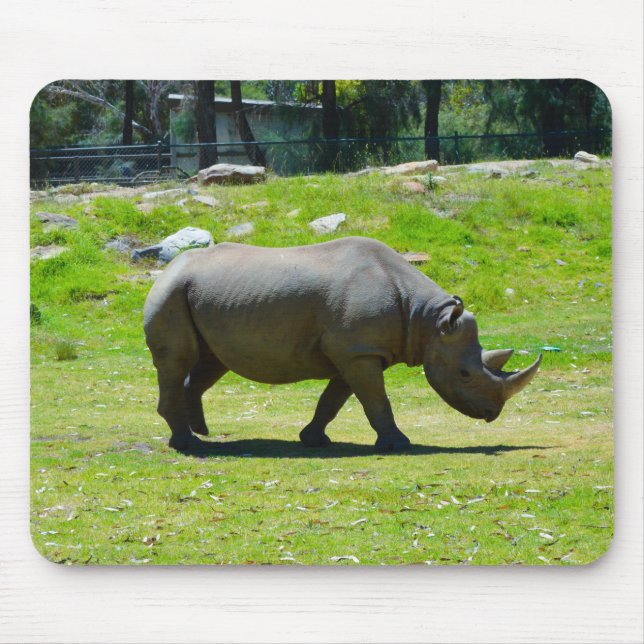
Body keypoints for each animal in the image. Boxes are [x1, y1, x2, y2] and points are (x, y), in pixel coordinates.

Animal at [143, 236, 541, 452]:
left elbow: (333, 400)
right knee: (178, 360)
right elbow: (376, 401)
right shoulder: (358, 351)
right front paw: (399, 445)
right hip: (172, 292)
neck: (428, 320)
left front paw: (313, 439)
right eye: (464, 374)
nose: (492, 414)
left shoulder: (355, 351)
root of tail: (170, 267)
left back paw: (200, 431)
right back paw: (189, 444)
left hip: (201, 295)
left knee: (211, 361)